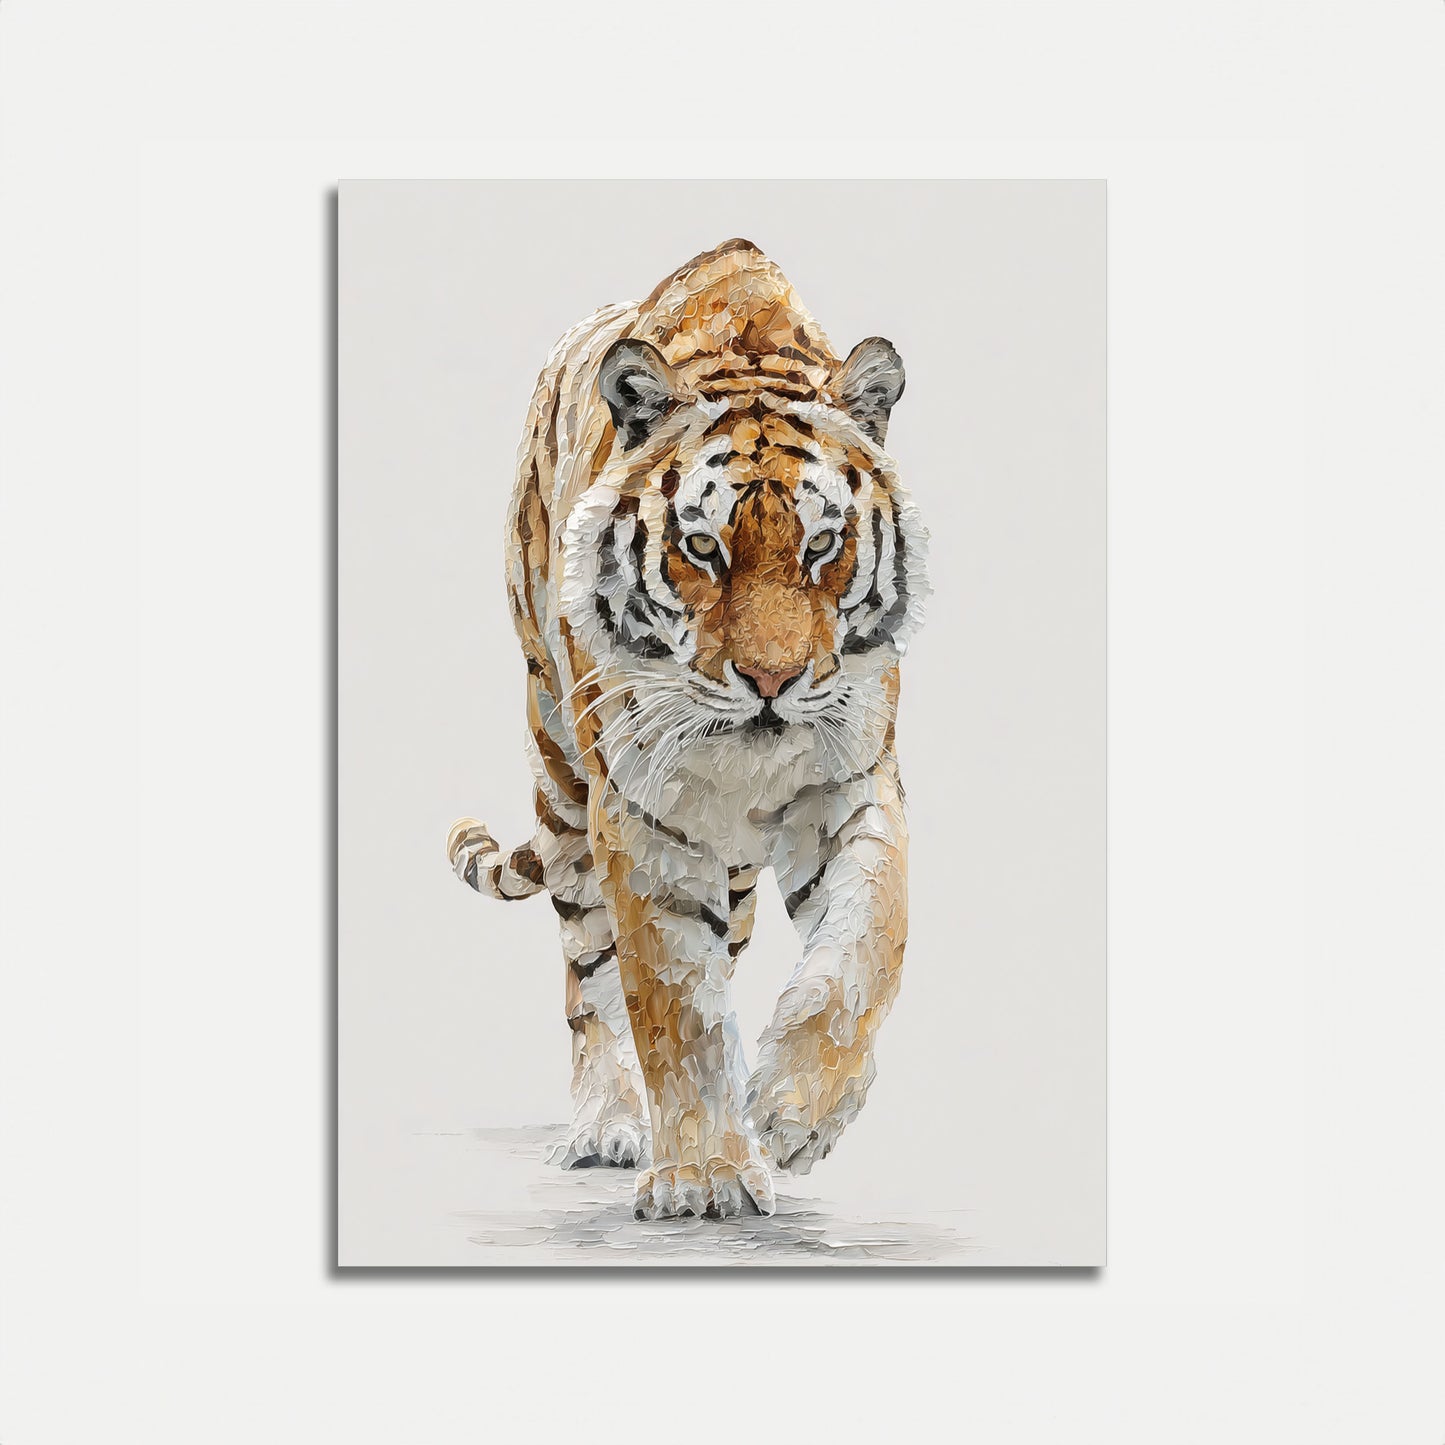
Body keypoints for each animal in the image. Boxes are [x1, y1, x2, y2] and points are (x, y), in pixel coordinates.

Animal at [447, 237, 928, 1221]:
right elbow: (672, 1002)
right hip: (562, 775)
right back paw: (607, 1125)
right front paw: (703, 1173)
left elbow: (867, 948)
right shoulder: (641, 816)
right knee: (587, 974)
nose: (772, 681)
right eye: (703, 548)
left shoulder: (854, 789)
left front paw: (792, 1112)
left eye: (822, 546)